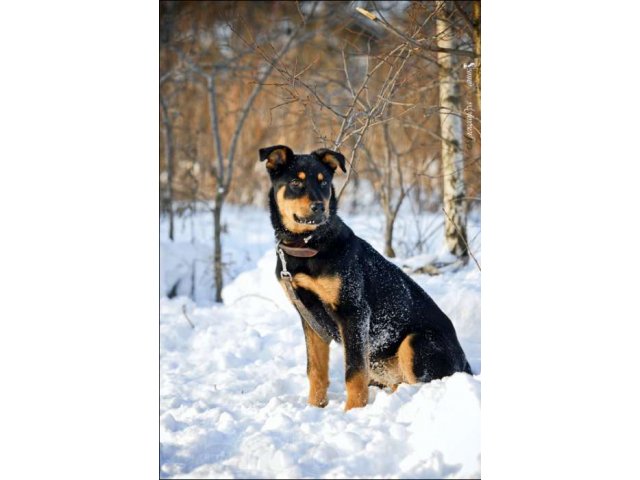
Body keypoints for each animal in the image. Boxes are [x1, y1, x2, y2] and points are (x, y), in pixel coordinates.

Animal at [258, 144, 472, 410]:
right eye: (296, 183)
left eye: (324, 182)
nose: (320, 207)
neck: (308, 246)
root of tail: (466, 364)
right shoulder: (309, 318)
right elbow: (316, 371)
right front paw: (315, 407)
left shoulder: (354, 311)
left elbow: (354, 372)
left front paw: (352, 411)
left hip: (416, 342)